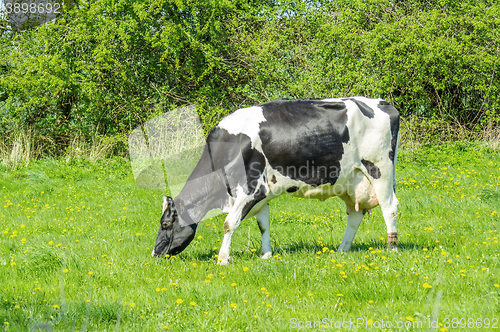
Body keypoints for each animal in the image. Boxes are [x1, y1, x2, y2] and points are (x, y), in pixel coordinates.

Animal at [150, 96, 400, 264]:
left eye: (165, 224)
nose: (154, 254)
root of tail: (382, 102)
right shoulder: (263, 194)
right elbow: (263, 224)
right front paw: (266, 254)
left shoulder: (252, 189)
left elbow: (229, 223)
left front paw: (222, 259)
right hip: (352, 180)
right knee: (355, 215)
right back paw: (342, 249)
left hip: (380, 168)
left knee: (389, 207)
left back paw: (392, 248)